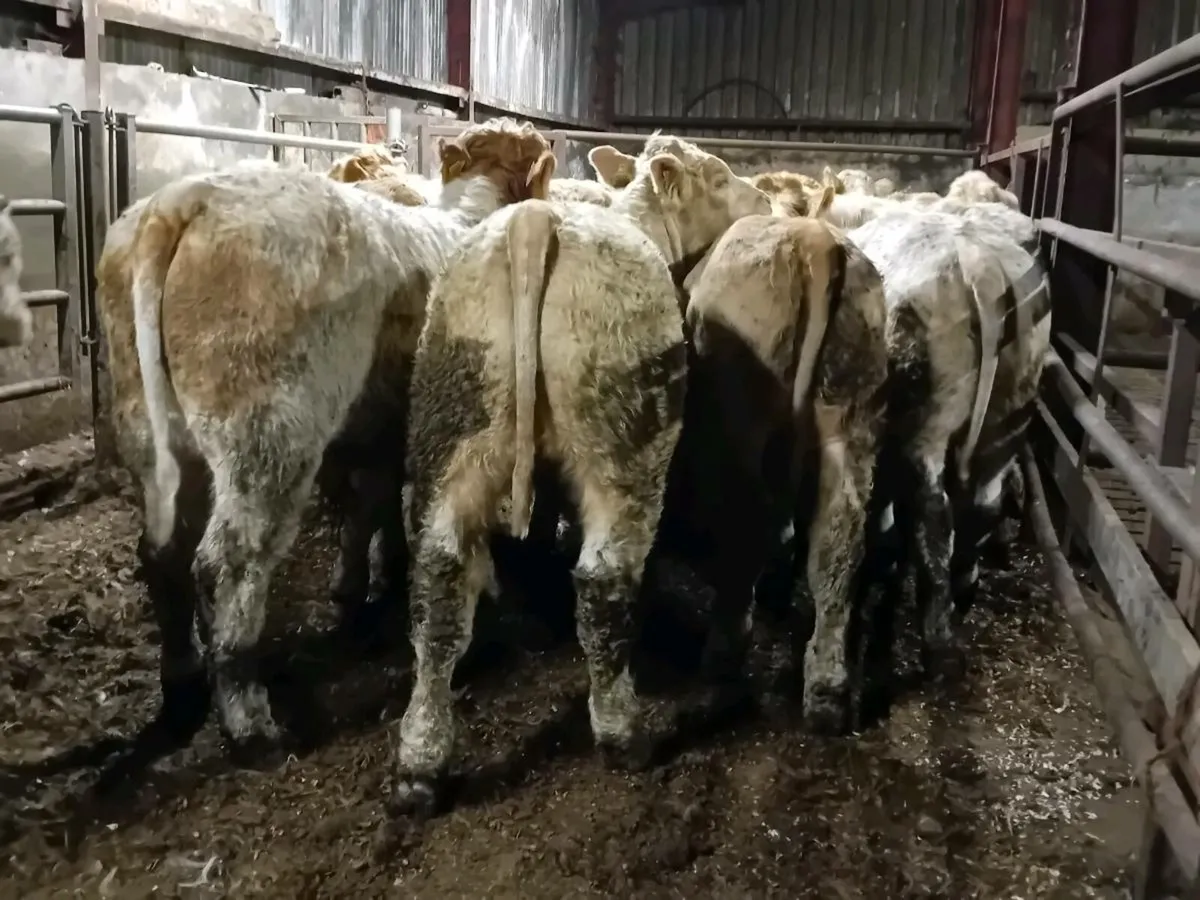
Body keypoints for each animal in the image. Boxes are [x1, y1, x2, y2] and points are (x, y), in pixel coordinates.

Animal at [97, 118, 555, 758]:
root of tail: (182, 201)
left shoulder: (376, 424)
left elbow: (370, 507)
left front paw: (361, 588)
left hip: (146, 420)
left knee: (162, 551)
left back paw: (183, 683)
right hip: (267, 429)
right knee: (225, 562)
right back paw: (249, 721)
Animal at [389, 136, 772, 818]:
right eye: (720, 177)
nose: (767, 202)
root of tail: (537, 221)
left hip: (453, 423)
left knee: (438, 580)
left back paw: (420, 764)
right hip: (624, 443)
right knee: (603, 580)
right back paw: (623, 733)